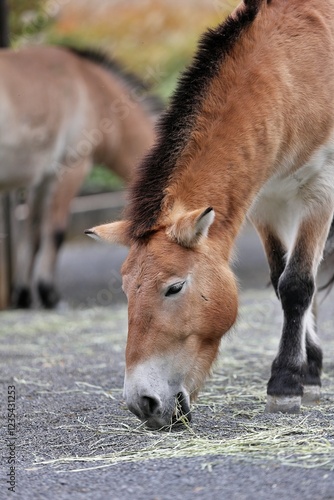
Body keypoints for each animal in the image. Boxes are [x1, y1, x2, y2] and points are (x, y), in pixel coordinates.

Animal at [0, 44, 162, 308]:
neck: (92, 88)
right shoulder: (71, 169)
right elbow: (55, 231)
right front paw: (48, 293)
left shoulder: (43, 180)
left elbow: (33, 233)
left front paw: (23, 294)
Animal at [87, 0, 334, 430]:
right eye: (125, 290)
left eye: (174, 288)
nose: (143, 403)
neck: (292, 73)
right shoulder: (267, 200)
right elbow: (282, 279)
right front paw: (305, 373)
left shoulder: (322, 190)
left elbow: (297, 284)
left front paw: (285, 384)